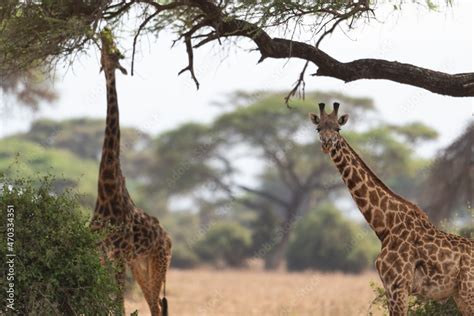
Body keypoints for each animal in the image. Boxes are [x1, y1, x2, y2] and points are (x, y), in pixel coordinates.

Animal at [90, 28, 171, 314]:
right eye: (106, 51)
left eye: (117, 54)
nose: (104, 32)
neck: (106, 191)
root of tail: (168, 238)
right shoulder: (102, 251)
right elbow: (107, 300)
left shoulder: (119, 253)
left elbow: (118, 303)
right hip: (140, 264)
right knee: (154, 304)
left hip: (158, 261)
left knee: (157, 306)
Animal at [310, 102, 472, 314]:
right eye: (318, 128)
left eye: (338, 128)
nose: (327, 144)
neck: (385, 226)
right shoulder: (390, 287)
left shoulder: (398, 285)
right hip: (460, 295)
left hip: (468, 292)